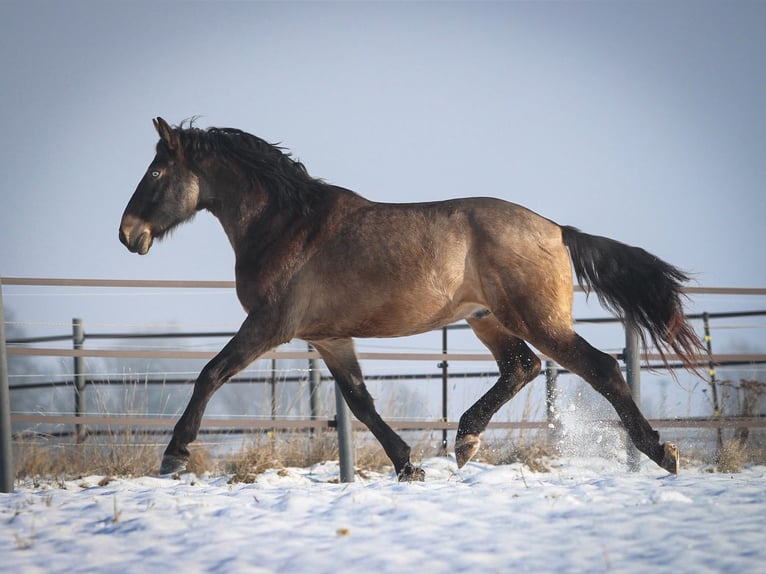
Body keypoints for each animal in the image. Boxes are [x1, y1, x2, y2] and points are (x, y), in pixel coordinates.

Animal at [120, 117, 703, 480]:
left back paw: (661, 452)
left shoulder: (270, 326)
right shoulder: (328, 338)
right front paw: (408, 465)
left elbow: (210, 373)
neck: (286, 226)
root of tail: (558, 230)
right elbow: (360, 401)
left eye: (155, 171)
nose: (128, 235)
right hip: (487, 318)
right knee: (522, 367)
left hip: (536, 319)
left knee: (599, 367)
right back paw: (464, 441)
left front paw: (174, 454)